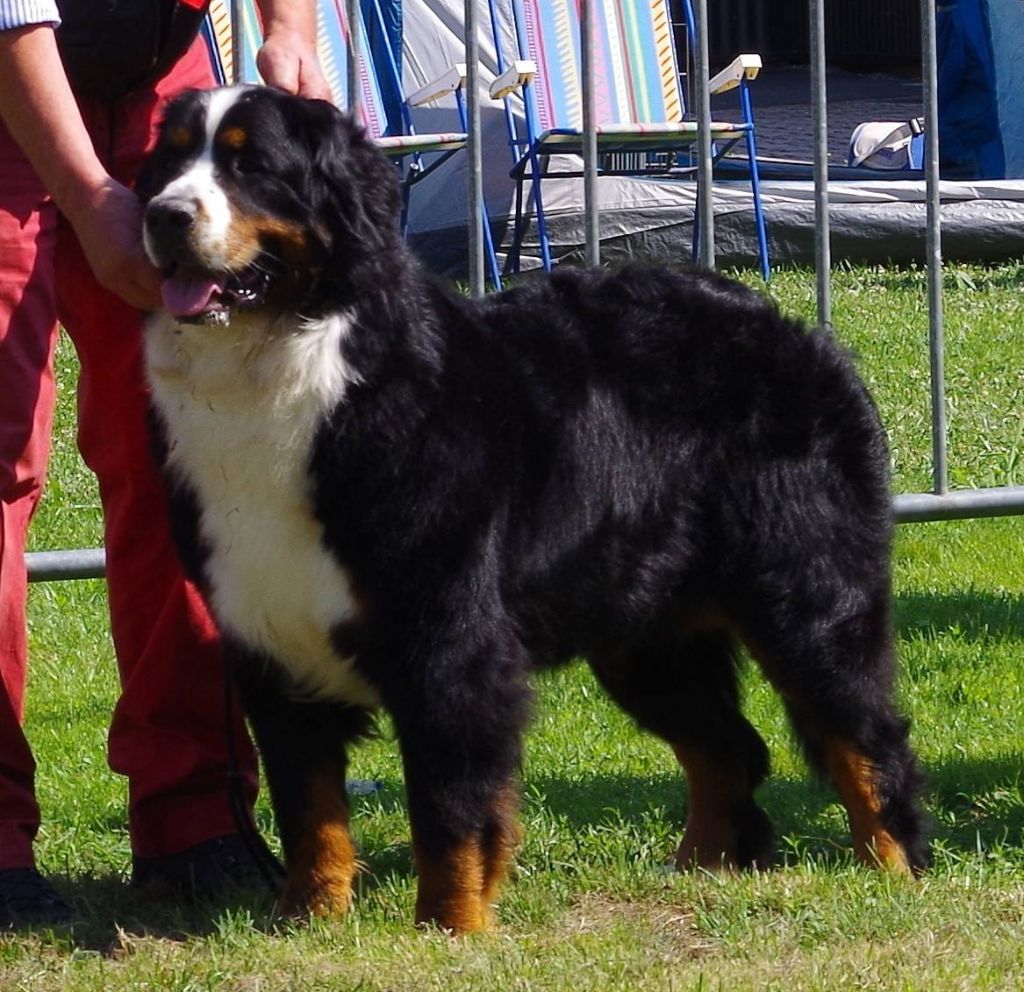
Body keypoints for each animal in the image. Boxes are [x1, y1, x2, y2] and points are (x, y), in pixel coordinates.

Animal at [136, 83, 929, 929]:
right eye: (169, 163)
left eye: (251, 166)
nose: (164, 215)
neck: (294, 369)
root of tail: (793, 328)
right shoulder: (271, 640)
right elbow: (309, 811)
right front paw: (308, 920)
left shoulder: (448, 642)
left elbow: (449, 809)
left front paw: (448, 928)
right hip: (644, 635)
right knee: (730, 748)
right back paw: (699, 871)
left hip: (806, 597)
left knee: (866, 741)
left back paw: (893, 875)